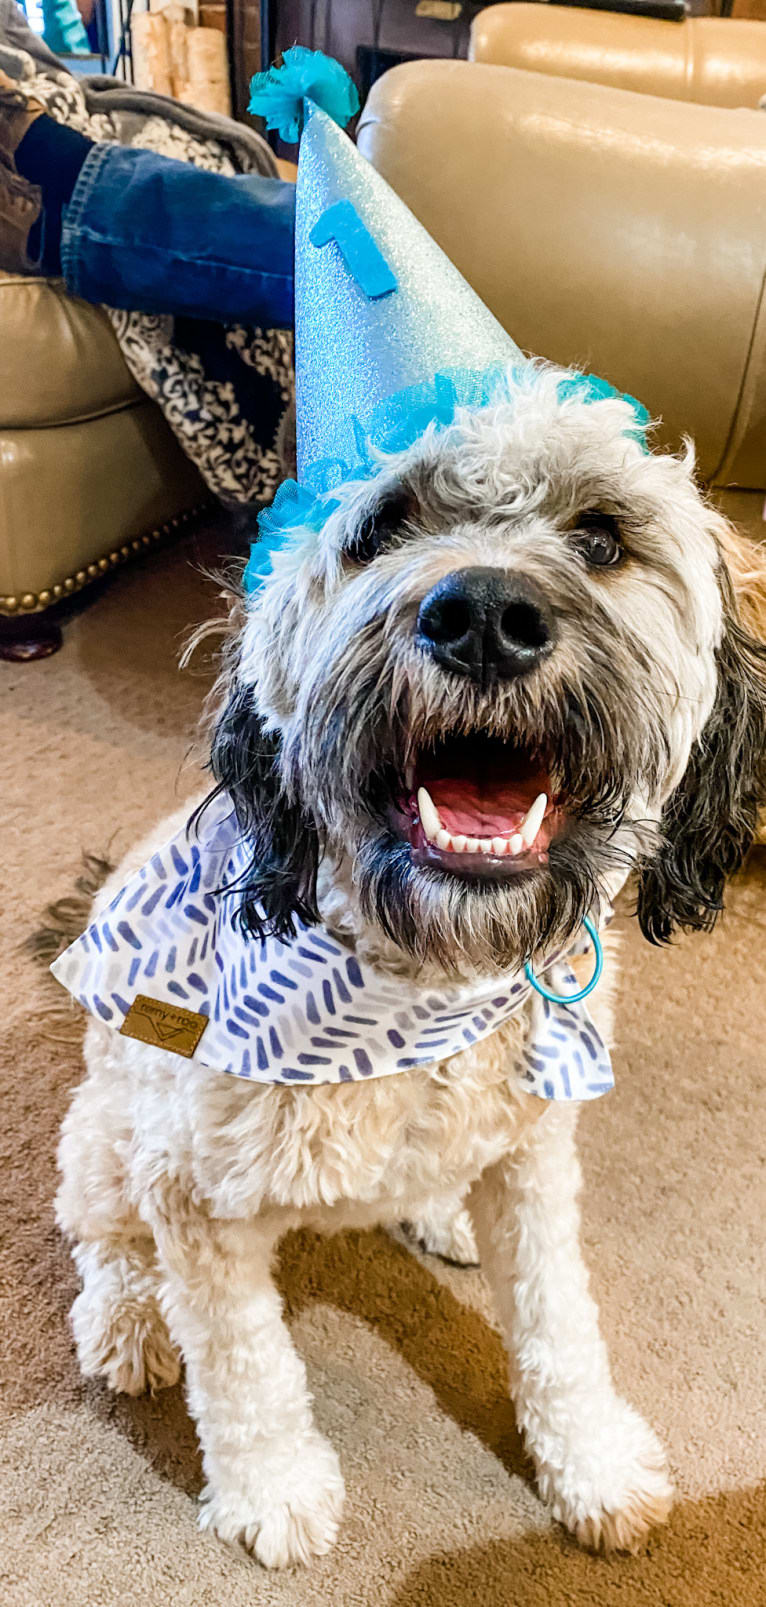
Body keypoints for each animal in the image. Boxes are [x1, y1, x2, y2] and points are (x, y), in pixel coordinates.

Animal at [53, 369, 764, 1562]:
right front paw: (275, 1489)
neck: (421, 990)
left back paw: (434, 1210)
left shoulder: (535, 1154)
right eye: (382, 528)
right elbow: (243, 1363)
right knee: (100, 1238)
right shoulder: (191, 1192)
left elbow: (561, 1320)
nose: (482, 617)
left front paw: (593, 1461)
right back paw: (127, 1322)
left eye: (601, 536)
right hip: (107, 1131)